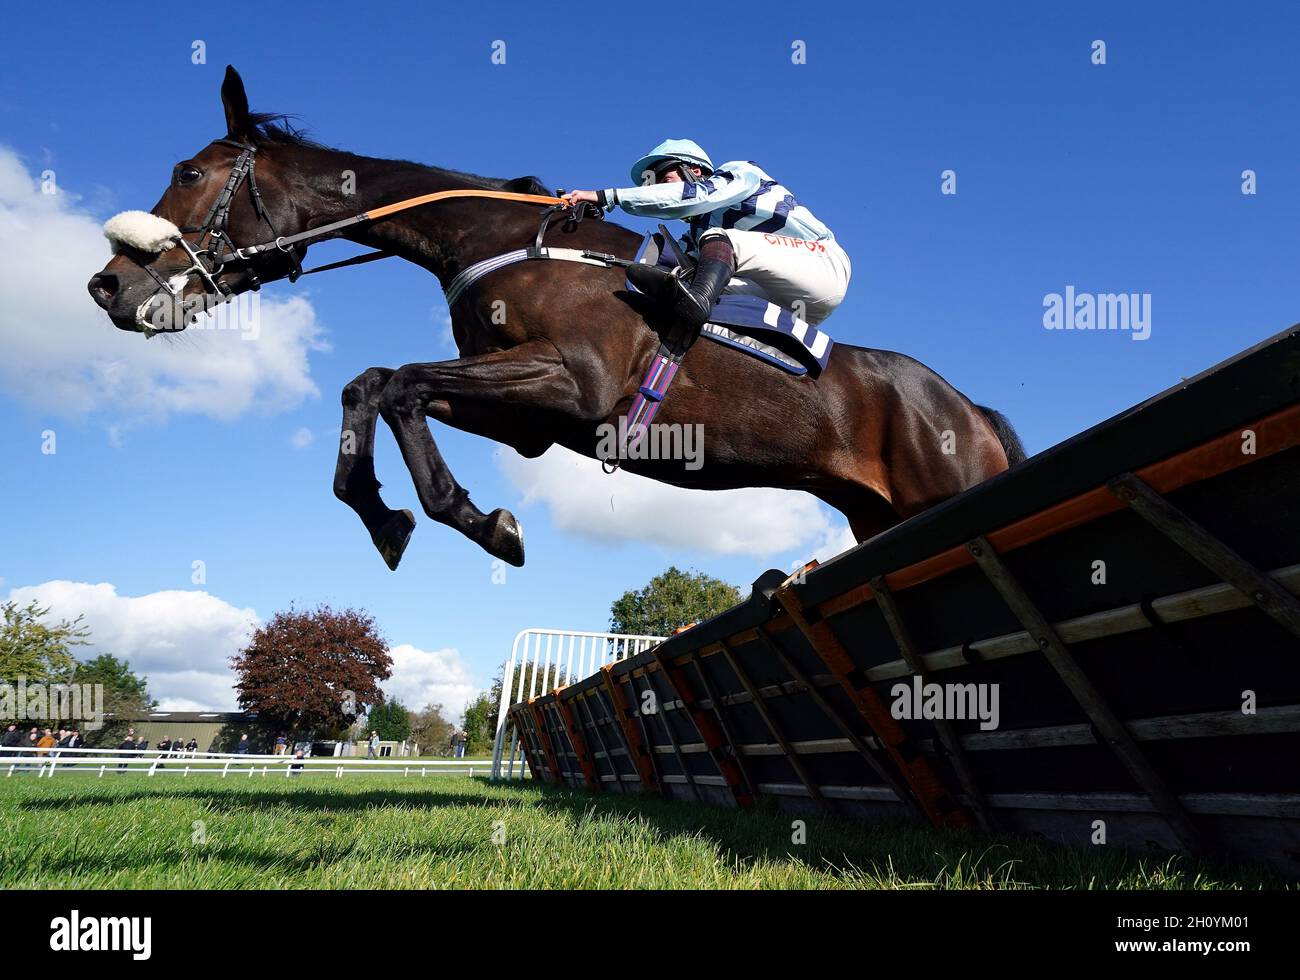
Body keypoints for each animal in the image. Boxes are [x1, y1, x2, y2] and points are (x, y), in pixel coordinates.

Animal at [89, 64, 1024, 569]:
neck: (498, 238)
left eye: (188, 172)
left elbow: (397, 384)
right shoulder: (531, 420)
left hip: (945, 490)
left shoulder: (575, 383)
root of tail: (968, 408)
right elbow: (374, 385)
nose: (108, 286)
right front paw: (388, 515)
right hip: (880, 517)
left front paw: (483, 524)